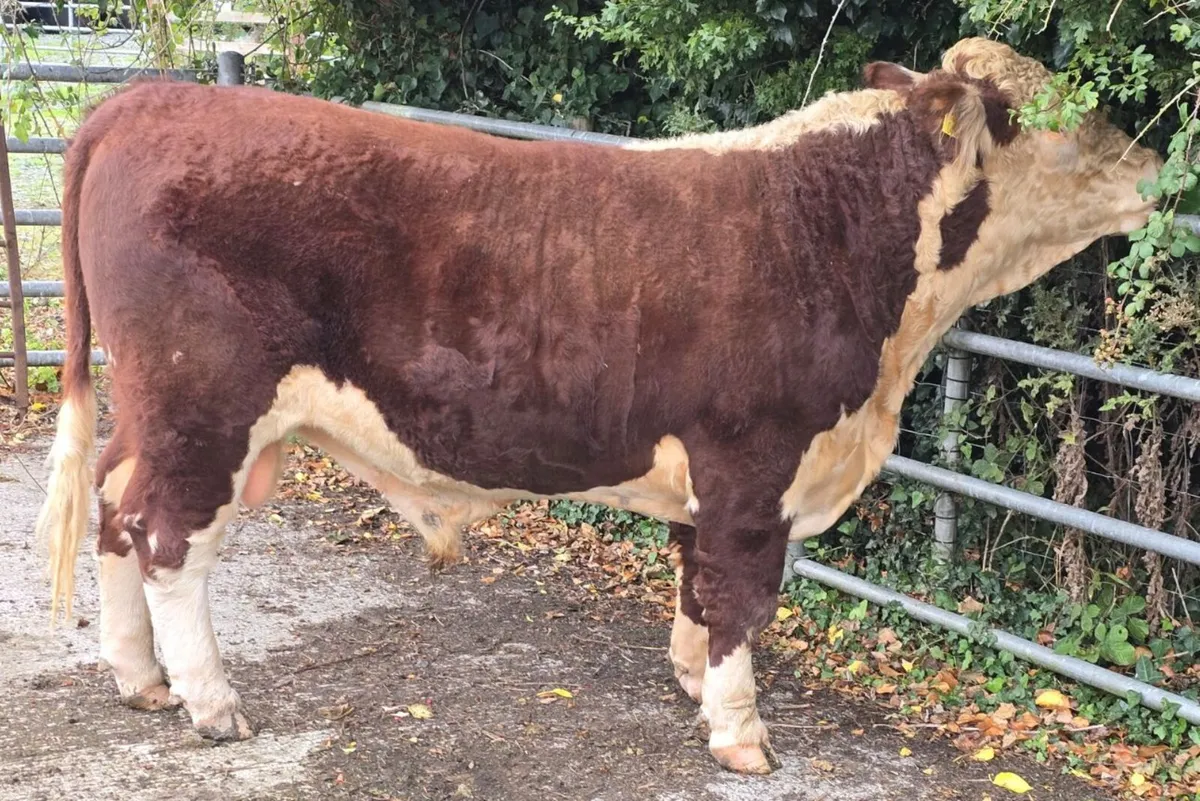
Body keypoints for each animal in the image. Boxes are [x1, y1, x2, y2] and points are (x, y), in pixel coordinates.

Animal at [35, 37, 1160, 775]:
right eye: (1063, 116)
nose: (1158, 160)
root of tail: (145, 103)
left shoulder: (714, 475)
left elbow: (695, 586)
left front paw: (692, 683)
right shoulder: (752, 463)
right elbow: (741, 597)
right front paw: (741, 733)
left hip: (150, 413)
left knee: (112, 514)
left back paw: (138, 678)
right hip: (203, 407)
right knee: (167, 540)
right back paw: (209, 701)